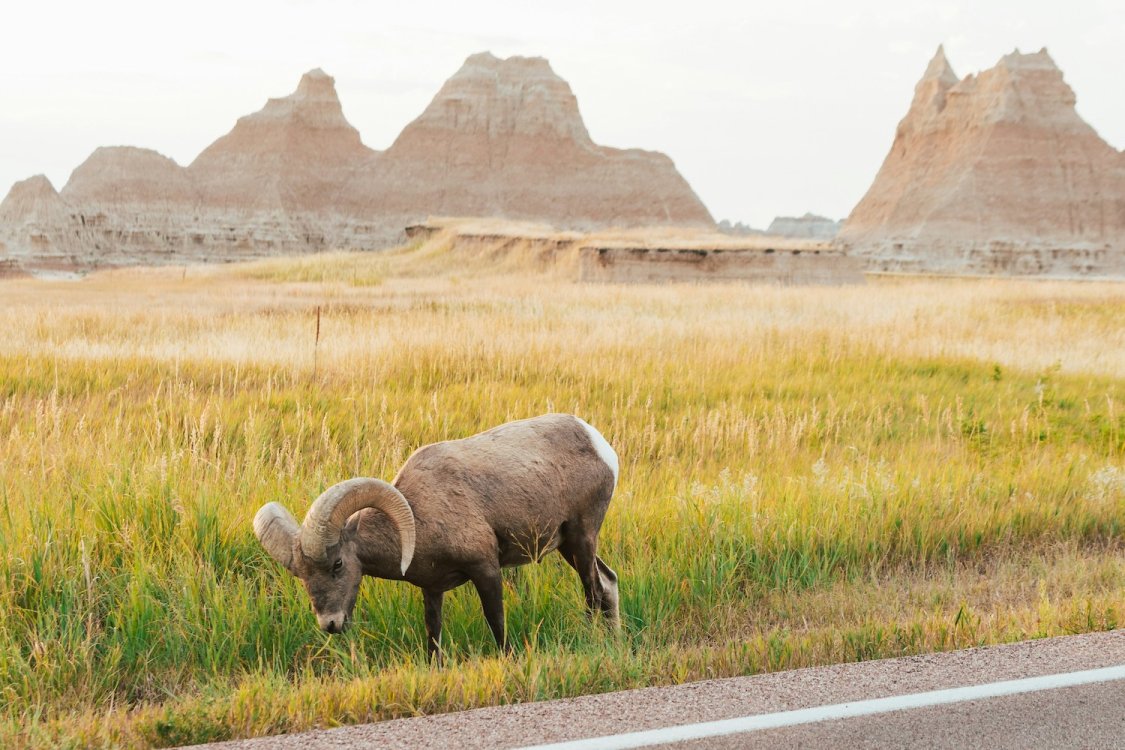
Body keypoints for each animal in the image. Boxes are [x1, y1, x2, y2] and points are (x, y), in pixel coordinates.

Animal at [255, 413, 621, 661]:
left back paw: (595, 640)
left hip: (582, 538)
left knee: (594, 591)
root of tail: (599, 444)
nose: (330, 624)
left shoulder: (486, 569)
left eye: (337, 564)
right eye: (301, 575)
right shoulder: (431, 589)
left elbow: (496, 622)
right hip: (568, 546)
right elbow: (433, 634)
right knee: (609, 583)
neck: (419, 516)